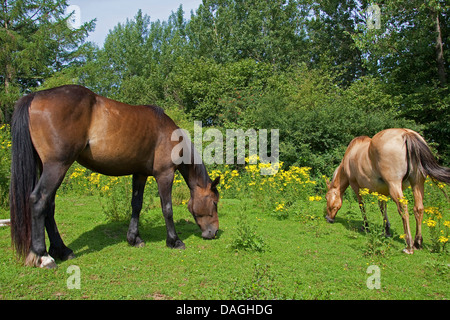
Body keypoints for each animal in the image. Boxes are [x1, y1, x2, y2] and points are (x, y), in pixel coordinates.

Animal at [9, 84, 221, 268]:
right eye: (214, 202)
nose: (214, 232)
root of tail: (35, 96)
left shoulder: (140, 174)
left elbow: (136, 205)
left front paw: (134, 238)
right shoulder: (165, 174)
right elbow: (167, 208)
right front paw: (174, 241)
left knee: (49, 206)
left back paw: (62, 250)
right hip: (57, 166)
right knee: (39, 200)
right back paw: (42, 256)